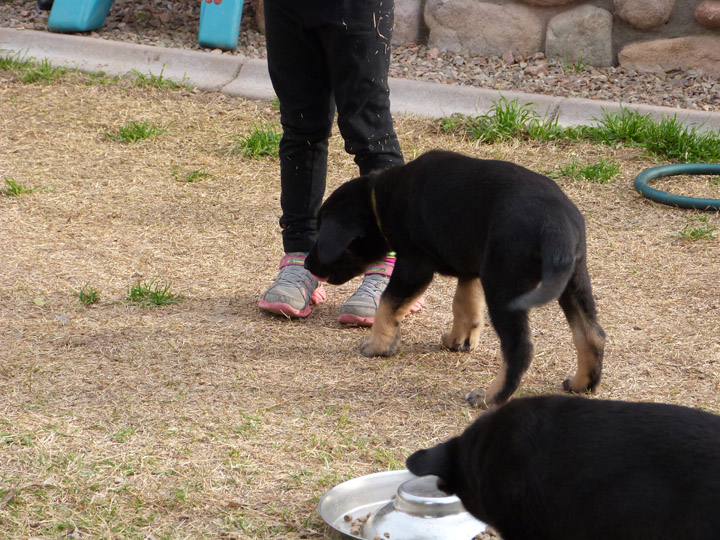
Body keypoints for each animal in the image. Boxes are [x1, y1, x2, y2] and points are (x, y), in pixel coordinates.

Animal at [306, 150, 604, 408]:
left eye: (321, 231)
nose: (309, 264)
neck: (381, 198)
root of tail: (556, 226)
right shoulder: (470, 268)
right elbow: (465, 305)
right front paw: (458, 340)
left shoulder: (414, 265)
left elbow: (388, 303)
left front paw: (377, 346)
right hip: (574, 279)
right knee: (592, 334)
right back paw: (582, 384)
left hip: (503, 284)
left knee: (520, 347)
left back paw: (489, 397)